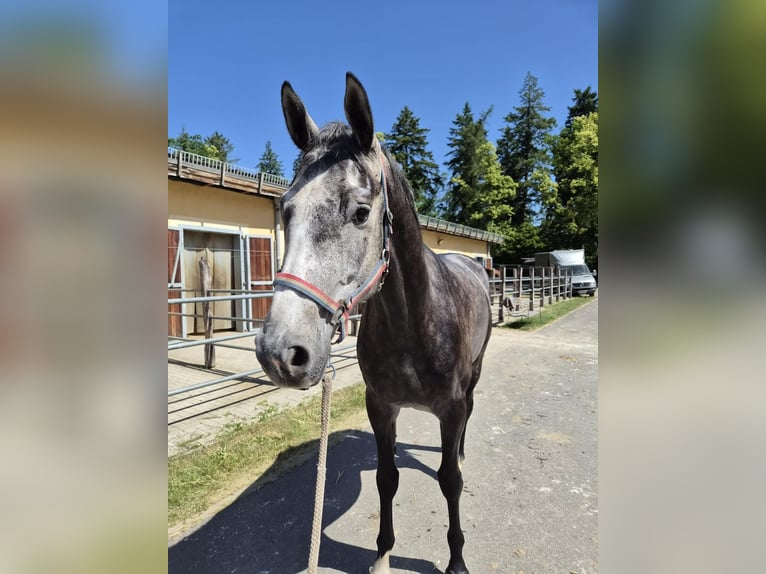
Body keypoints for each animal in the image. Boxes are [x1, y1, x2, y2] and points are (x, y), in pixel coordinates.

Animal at [255, 72, 492, 574]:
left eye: (361, 211)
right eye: (285, 209)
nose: (280, 353)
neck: (414, 322)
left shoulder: (450, 410)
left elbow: (449, 481)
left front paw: (456, 560)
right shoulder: (380, 407)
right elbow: (387, 479)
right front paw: (383, 553)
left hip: (475, 378)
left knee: (466, 425)